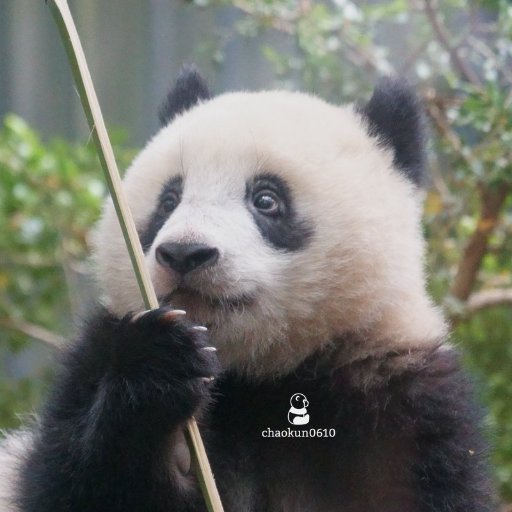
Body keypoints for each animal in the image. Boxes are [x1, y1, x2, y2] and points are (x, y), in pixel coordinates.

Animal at [0, 66, 496, 510]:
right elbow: (72, 484)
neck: (257, 372)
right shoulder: (95, 357)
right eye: (168, 200)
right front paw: (159, 366)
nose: (185, 253)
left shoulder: (406, 408)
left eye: (266, 199)